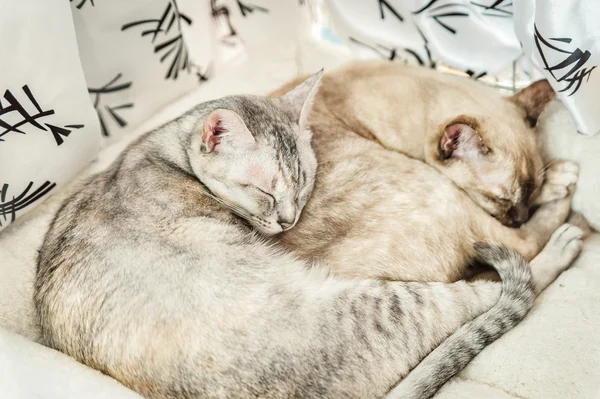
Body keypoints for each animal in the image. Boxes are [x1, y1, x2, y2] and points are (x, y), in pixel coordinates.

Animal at [35, 73, 580, 398]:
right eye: (502, 201)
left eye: (302, 186)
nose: (287, 222)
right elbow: (522, 246)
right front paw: (561, 188)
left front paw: (552, 182)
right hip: (407, 288)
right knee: (511, 279)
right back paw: (567, 227)